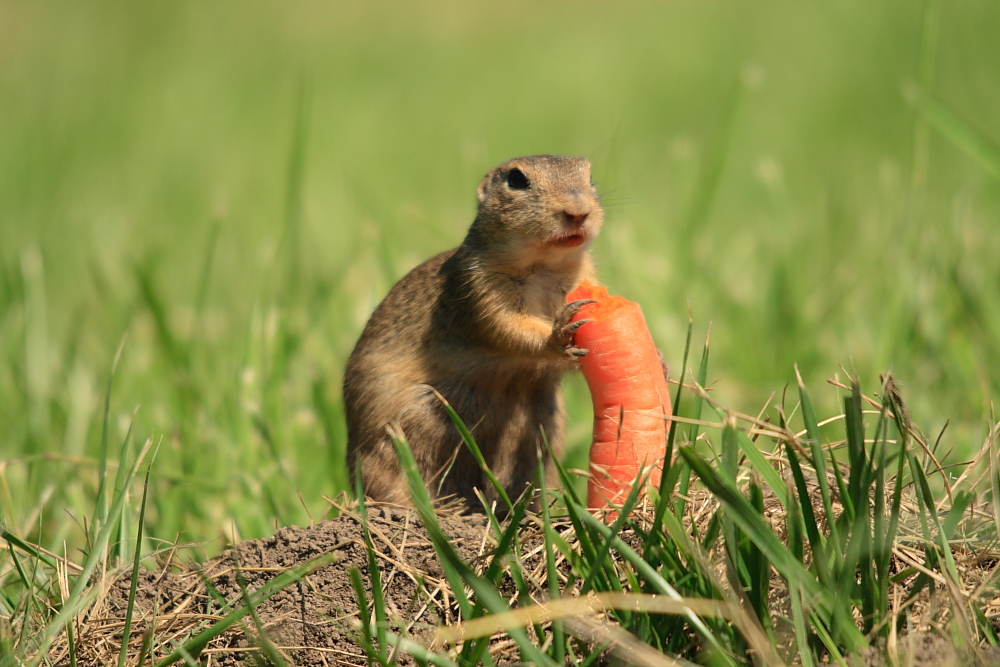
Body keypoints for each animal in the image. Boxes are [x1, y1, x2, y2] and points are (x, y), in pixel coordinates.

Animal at [346, 157, 600, 512]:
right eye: (516, 179)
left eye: (590, 177)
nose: (578, 212)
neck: (544, 268)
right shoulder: (479, 290)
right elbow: (508, 328)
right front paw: (558, 334)